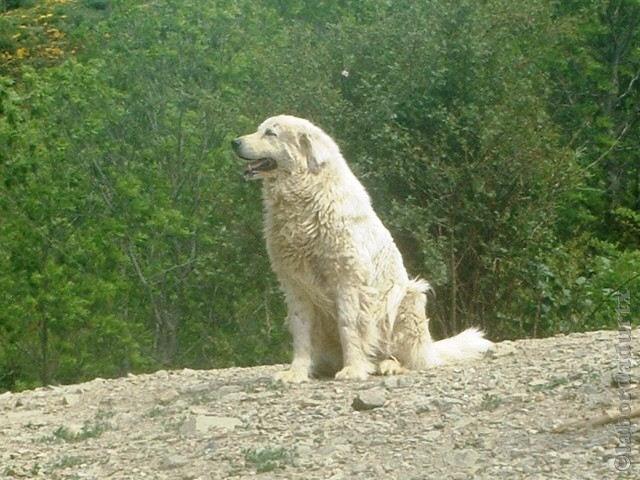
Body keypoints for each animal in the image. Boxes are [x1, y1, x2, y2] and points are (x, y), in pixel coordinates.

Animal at [232, 114, 492, 380]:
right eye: (259, 130)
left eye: (270, 133)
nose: (234, 142)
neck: (305, 198)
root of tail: (430, 349)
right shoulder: (295, 286)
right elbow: (301, 332)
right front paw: (296, 373)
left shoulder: (349, 281)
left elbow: (349, 326)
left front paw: (354, 368)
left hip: (407, 297)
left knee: (411, 359)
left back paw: (388, 365)